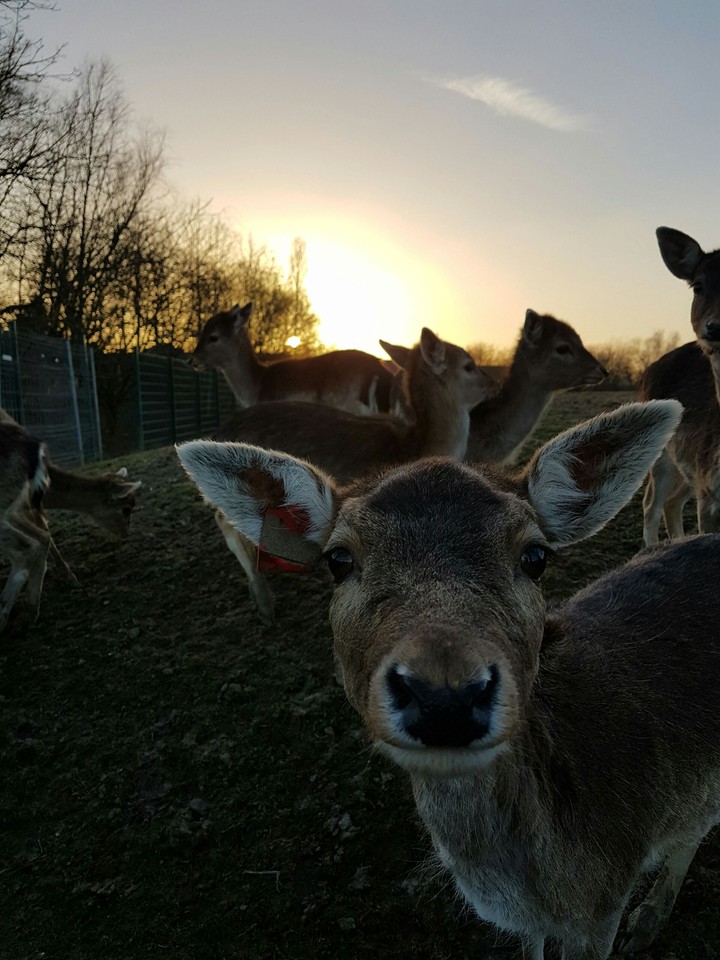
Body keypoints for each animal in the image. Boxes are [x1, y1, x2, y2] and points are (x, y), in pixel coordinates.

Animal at [640, 227, 720, 545]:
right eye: (698, 286)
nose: (715, 327)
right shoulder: (709, 495)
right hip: (660, 453)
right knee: (651, 504)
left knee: (672, 503)